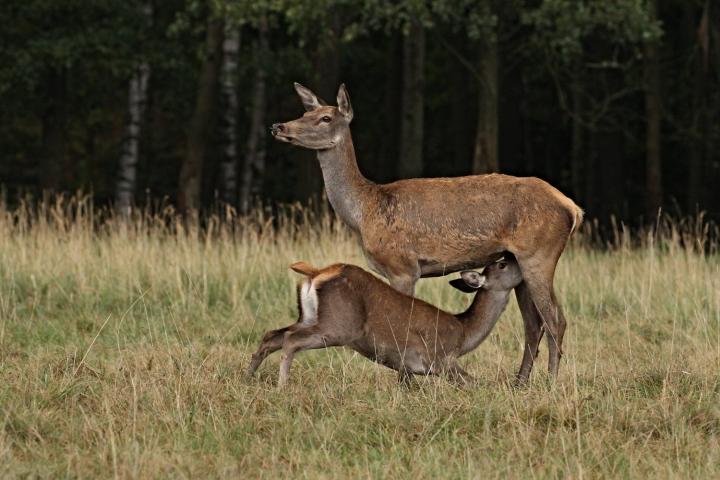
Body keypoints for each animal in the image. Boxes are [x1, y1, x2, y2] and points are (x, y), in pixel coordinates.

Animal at [245, 258, 520, 386]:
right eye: (502, 264)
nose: (514, 257)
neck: (463, 332)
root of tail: (317, 272)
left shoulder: (409, 367)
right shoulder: (439, 358)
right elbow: (475, 383)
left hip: (308, 317)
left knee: (272, 335)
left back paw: (247, 377)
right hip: (338, 325)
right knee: (290, 340)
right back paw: (282, 386)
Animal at [268, 83, 580, 382]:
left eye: (325, 118)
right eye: (305, 112)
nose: (279, 127)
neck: (363, 211)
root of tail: (572, 209)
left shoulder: (403, 266)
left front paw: (401, 382)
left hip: (539, 254)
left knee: (555, 319)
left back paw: (550, 383)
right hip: (519, 261)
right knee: (534, 323)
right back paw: (520, 382)